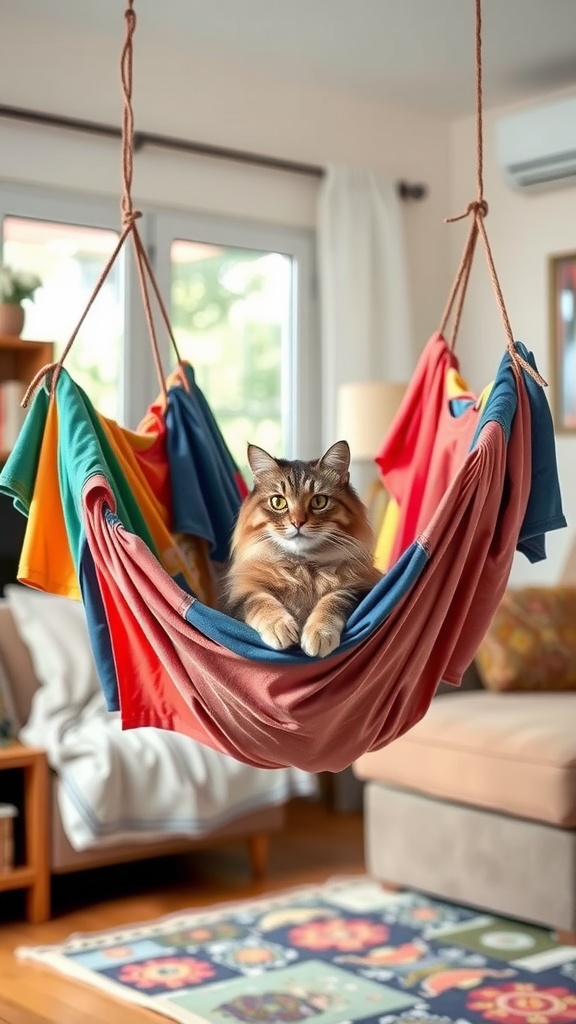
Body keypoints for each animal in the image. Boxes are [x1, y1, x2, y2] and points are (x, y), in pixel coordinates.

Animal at [220, 438, 381, 655]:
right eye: (278, 502)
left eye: (319, 501)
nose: (297, 522)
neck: (302, 568)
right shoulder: (240, 596)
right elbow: (260, 600)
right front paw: (280, 627)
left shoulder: (363, 589)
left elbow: (335, 598)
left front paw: (319, 633)